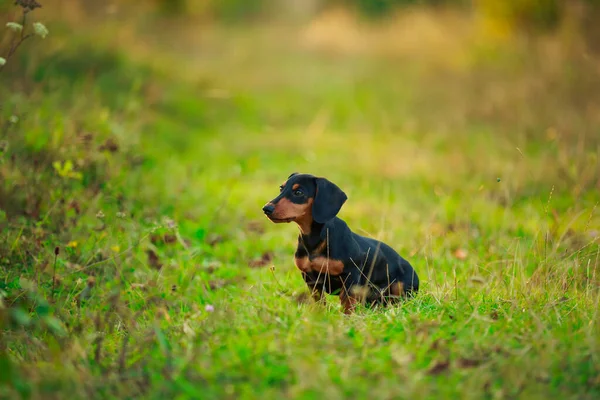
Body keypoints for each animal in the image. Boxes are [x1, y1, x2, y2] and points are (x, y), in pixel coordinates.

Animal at [262, 173, 418, 314]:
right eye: (281, 188)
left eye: (298, 192)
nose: (266, 209)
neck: (316, 238)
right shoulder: (310, 280)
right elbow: (320, 302)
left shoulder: (350, 277)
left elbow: (347, 304)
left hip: (400, 287)